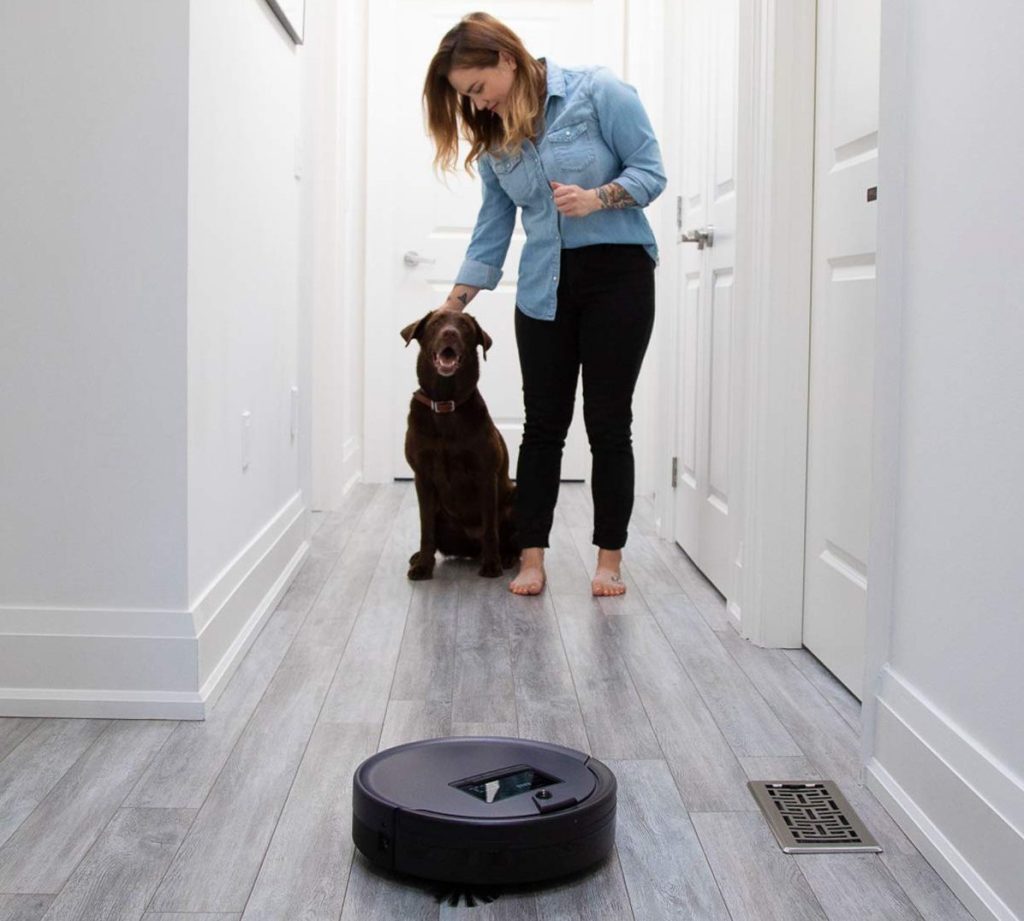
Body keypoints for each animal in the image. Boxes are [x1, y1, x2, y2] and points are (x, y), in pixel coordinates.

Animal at [399, 309, 520, 581]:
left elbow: (490, 529)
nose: (450, 333)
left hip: (514, 497)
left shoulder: (486, 475)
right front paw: (423, 566)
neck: (446, 403)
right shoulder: (422, 476)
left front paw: (492, 565)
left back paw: (506, 557)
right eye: (436, 323)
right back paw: (418, 557)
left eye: (464, 326)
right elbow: (425, 529)